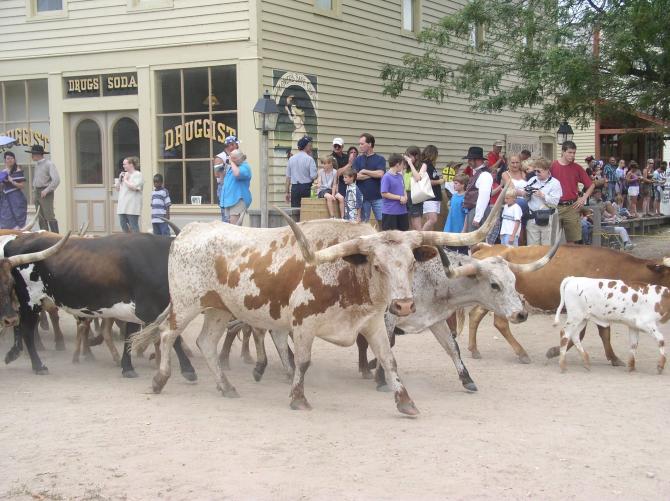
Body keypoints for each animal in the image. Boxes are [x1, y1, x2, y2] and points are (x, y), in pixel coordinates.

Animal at [470, 243, 670, 364]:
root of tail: (485, 248)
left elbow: (602, 333)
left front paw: (613, 358)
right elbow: (584, 334)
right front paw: (554, 351)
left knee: (475, 316)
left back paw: (474, 349)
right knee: (500, 323)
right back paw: (522, 353)